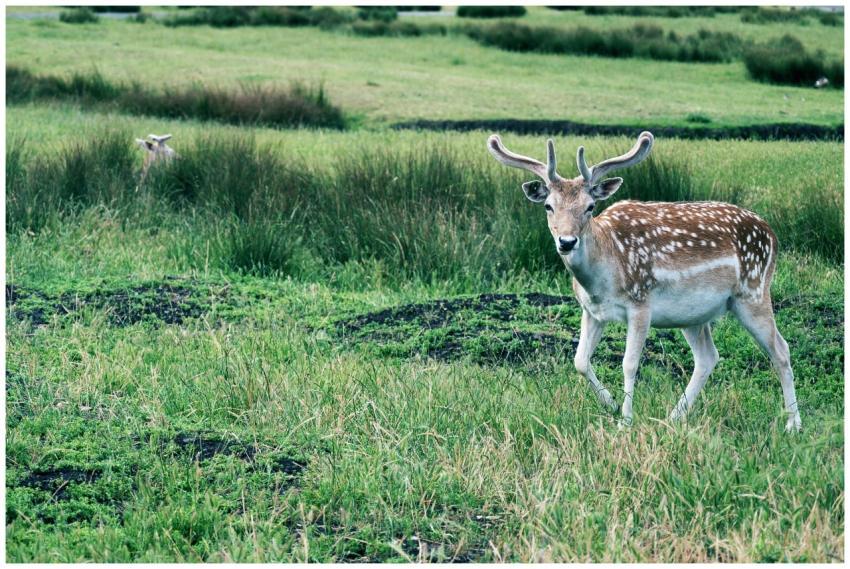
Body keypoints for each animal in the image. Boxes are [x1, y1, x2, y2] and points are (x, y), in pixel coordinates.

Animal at [487, 132, 802, 432]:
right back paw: (673, 418)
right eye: (549, 206)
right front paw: (612, 405)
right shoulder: (591, 311)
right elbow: (580, 361)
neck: (602, 277)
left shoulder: (641, 304)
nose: (566, 241)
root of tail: (772, 233)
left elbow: (629, 363)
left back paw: (793, 424)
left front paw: (625, 421)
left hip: (754, 292)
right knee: (708, 357)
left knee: (781, 350)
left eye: (590, 206)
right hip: (693, 315)